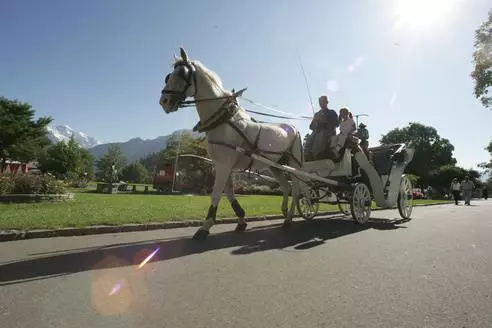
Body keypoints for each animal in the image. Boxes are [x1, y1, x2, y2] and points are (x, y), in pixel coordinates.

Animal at [160, 47, 304, 240]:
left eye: (182, 74)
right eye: (169, 76)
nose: (164, 101)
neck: (223, 121)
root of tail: (294, 128)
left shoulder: (224, 165)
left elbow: (216, 193)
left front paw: (205, 226)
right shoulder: (223, 165)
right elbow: (228, 192)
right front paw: (241, 219)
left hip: (293, 165)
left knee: (295, 189)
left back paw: (288, 219)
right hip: (275, 166)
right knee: (286, 187)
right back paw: (284, 211)